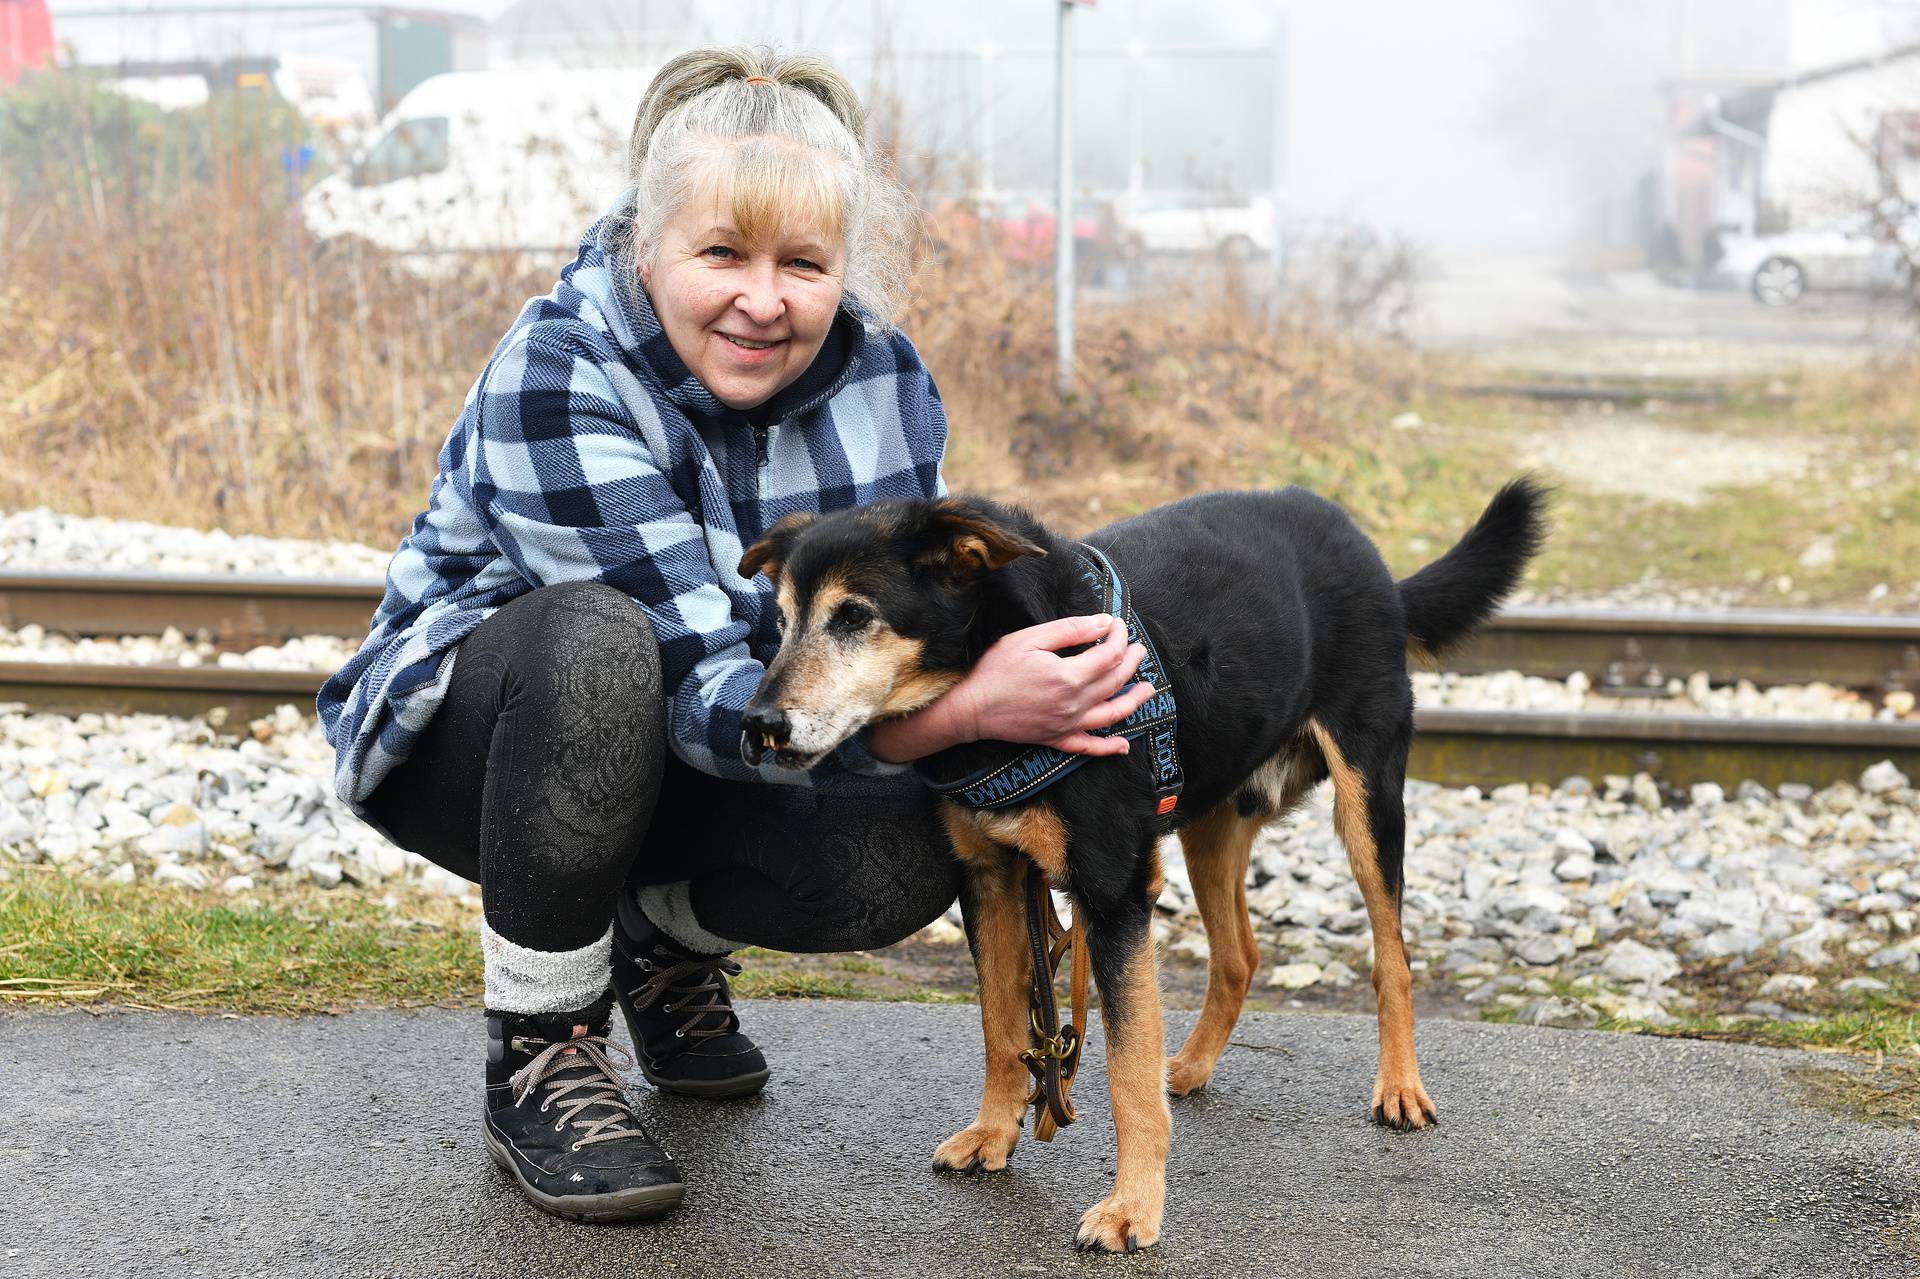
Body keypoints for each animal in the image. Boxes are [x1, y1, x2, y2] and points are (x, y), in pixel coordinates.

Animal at [733, 478, 1543, 1244]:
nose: (757, 724)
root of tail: (1368, 554)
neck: (1007, 650)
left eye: (853, 615)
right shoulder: (992, 877)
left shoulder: (1113, 891)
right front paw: (996, 1132)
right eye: (782, 620)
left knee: (1391, 956)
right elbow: (1001, 1025)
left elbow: (1124, 1072)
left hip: (1367, 800)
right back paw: (1189, 1065)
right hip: (1208, 823)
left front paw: (1132, 1209)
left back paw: (1400, 1087)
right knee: (1239, 955)